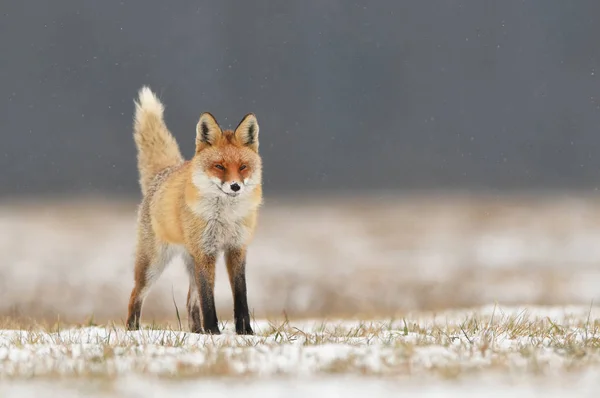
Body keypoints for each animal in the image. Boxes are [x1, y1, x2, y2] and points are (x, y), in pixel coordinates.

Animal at [125, 85, 262, 334]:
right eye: (219, 166)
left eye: (243, 167)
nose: (235, 186)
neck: (225, 217)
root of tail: (165, 171)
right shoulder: (205, 252)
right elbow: (208, 299)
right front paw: (214, 332)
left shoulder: (237, 249)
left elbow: (241, 296)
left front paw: (245, 332)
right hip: (153, 264)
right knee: (135, 296)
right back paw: (133, 330)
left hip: (190, 263)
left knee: (190, 302)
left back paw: (197, 331)